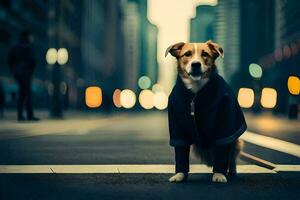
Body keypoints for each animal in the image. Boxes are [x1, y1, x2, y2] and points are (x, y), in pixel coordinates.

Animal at [166, 40, 246, 183]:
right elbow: (180, 152)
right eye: (187, 54)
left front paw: (219, 174)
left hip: (237, 142)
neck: (196, 90)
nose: (196, 64)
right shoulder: (177, 126)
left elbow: (222, 151)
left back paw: (231, 170)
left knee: (231, 157)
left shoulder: (225, 123)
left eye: (205, 54)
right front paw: (180, 174)